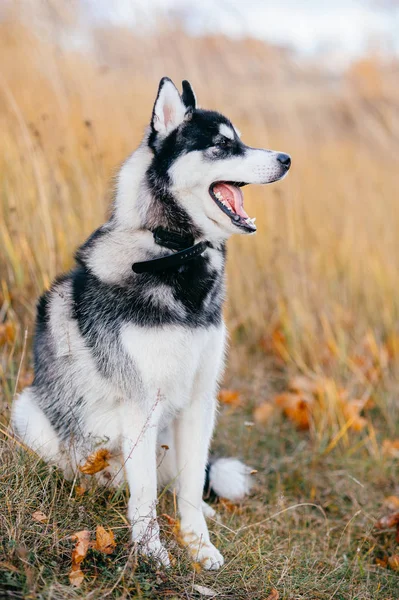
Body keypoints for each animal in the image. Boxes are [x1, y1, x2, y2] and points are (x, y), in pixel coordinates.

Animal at [11, 77, 290, 568]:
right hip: (29, 413)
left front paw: (200, 546)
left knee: (180, 482)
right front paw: (151, 553)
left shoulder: (200, 400)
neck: (174, 254)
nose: (286, 159)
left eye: (239, 139)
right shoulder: (141, 404)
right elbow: (142, 497)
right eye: (222, 144)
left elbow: (189, 489)